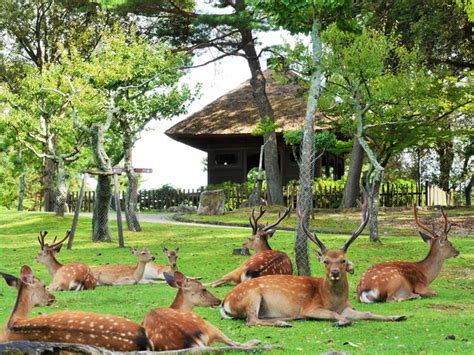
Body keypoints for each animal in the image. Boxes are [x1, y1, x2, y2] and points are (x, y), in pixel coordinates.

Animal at [218, 203, 408, 328]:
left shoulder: (347, 308)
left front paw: (398, 316)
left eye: (343, 260)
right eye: (325, 261)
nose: (335, 273)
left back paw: (290, 319)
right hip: (252, 296)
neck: (333, 300)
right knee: (251, 320)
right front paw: (340, 322)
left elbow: (368, 313)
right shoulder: (311, 307)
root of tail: (225, 302)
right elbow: (334, 315)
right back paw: (284, 322)